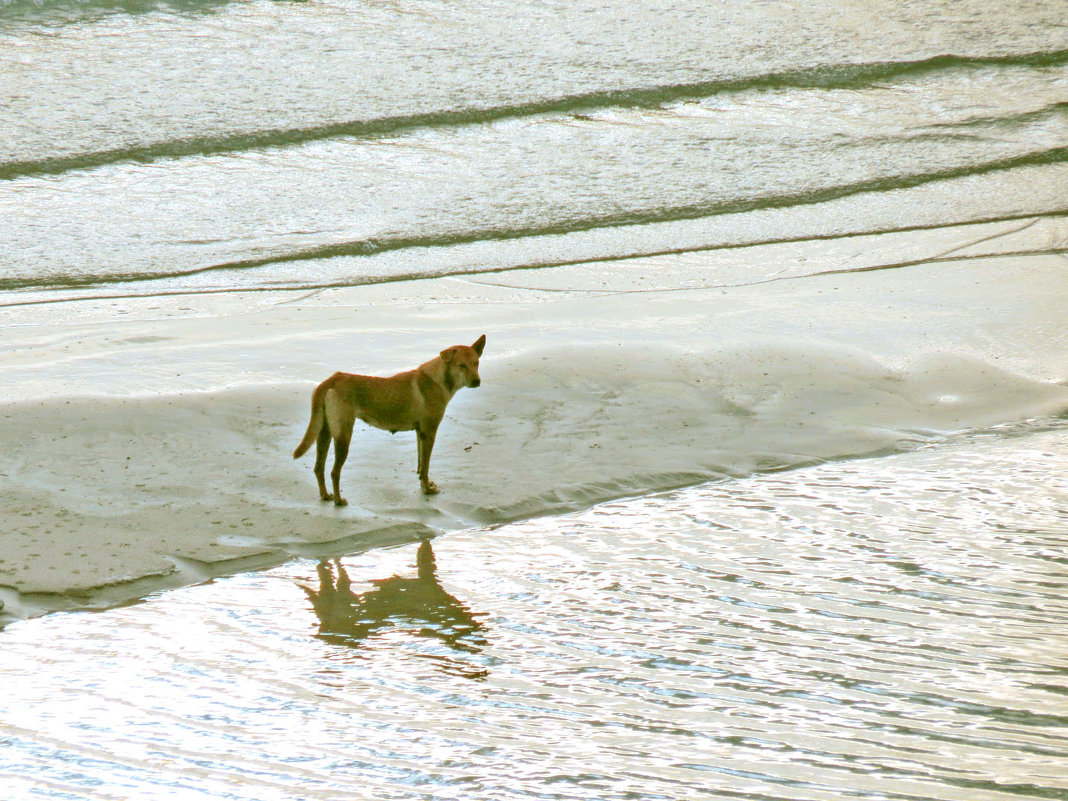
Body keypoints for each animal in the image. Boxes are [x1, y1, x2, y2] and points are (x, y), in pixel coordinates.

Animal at [296, 335, 489, 504]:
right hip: (343, 435)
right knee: (334, 472)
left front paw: (424, 484)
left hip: (325, 432)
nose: (476, 381)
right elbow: (426, 465)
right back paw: (338, 500)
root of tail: (332, 379)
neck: (439, 379)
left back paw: (325, 495)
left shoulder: (420, 433)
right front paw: (427, 489)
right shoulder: (429, 431)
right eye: (461, 365)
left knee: (319, 467)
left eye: (476, 363)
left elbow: (421, 465)